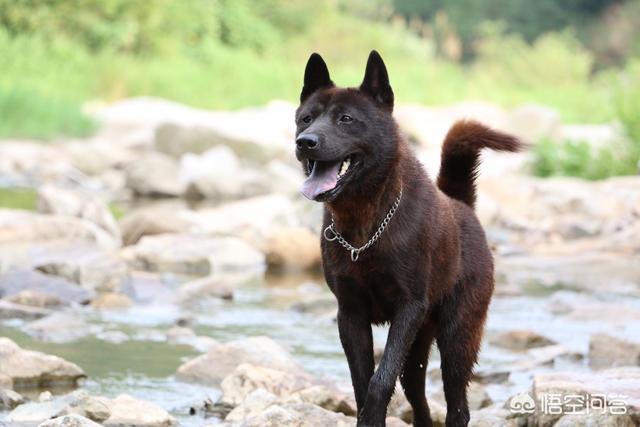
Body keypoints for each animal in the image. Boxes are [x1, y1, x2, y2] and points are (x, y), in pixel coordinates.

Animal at [296, 51, 520, 426]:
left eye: (346, 119)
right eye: (306, 118)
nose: (305, 142)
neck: (365, 227)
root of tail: (462, 206)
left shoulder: (407, 310)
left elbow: (379, 379)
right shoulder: (350, 314)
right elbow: (362, 381)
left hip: (456, 338)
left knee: (457, 405)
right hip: (419, 346)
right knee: (419, 400)